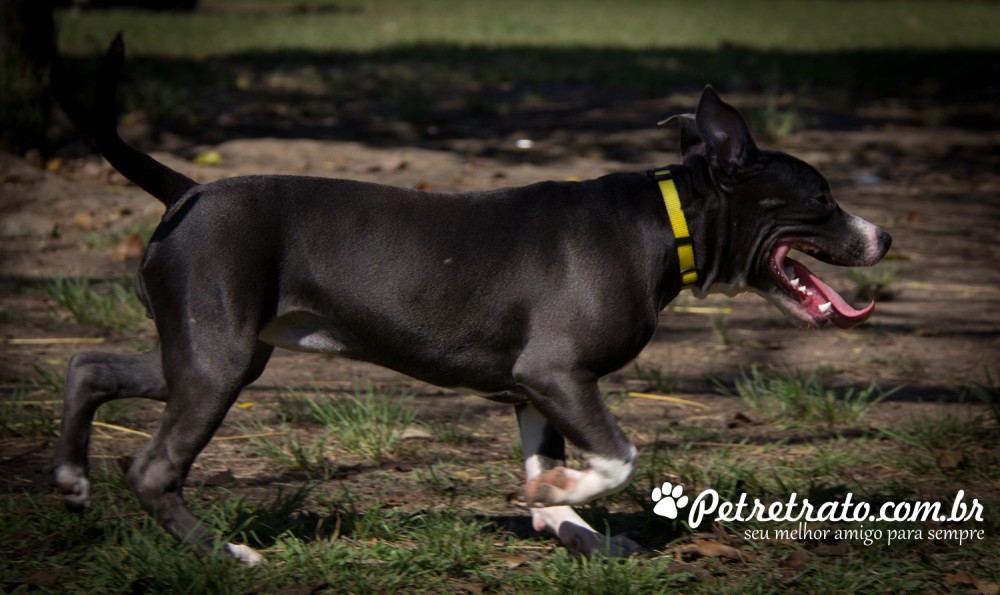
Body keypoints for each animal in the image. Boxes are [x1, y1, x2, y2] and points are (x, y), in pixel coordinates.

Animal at [52, 37, 892, 564]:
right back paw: (226, 554)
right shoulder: (559, 375)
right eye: (821, 196)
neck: (667, 220)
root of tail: (186, 189)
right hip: (217, 362)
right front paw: (565, 492)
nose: (883, 234)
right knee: (154, 468)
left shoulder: (532, 389)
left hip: (207, 351)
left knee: (90, 367)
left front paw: (573, 523)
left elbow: (553, 474)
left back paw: (70, 478)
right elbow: (618, 455)